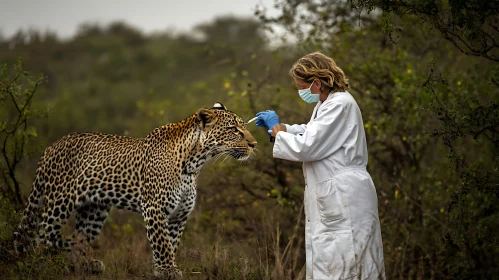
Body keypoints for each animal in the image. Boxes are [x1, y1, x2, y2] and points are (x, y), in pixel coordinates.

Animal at [13, 103, 258, 278]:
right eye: (234, 130)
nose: (254, 144)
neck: (194, 163)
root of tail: (50, 147)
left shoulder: (179, 215)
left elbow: (171, 243)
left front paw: (162, 269)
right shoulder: (155, 208)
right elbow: (161, 242)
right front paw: (168, 270)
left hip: (94, 211)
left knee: (78, 236)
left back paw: (86, 264)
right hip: (60, 201)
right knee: (42, 235)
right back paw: (45, 263)